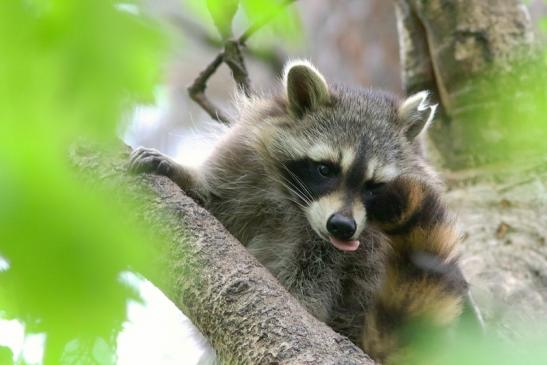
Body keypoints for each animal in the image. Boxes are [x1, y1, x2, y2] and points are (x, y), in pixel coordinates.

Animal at [131, 59, 474, 362]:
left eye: (374, 186)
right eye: (325, 169)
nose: (342, 226)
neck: (295, 205)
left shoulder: (343, 252)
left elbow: (311, 286)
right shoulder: (242, 163)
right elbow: (214, 203)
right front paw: (185, 175)